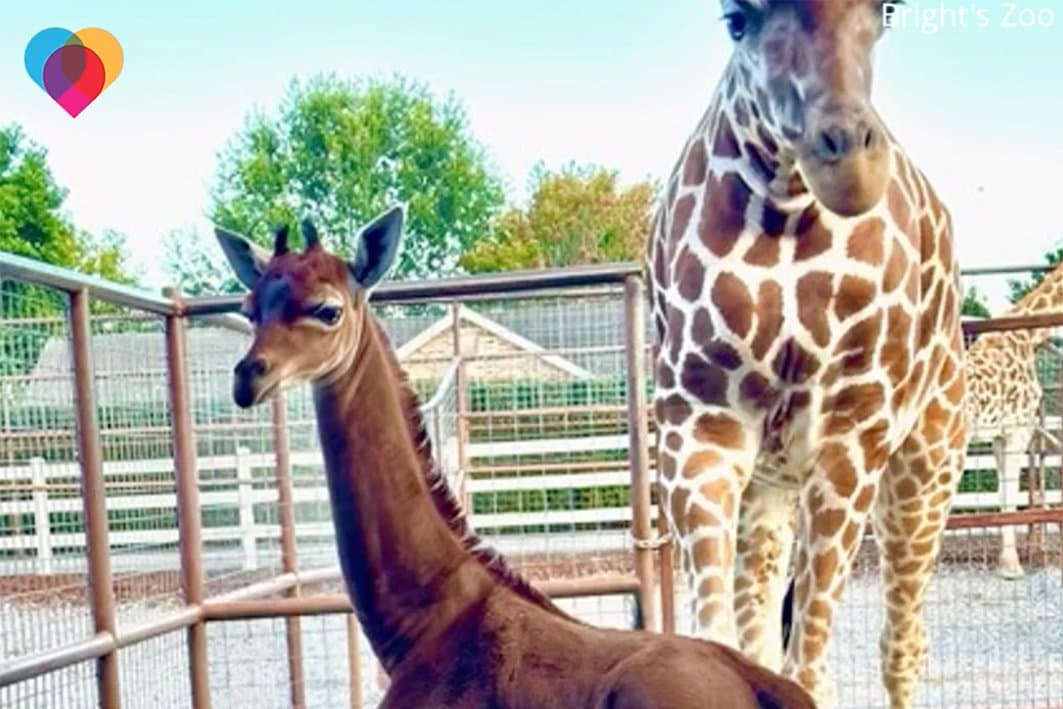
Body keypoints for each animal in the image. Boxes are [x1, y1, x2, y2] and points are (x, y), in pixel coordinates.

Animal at [645, 2, 966, 708]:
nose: (848, 165)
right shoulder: (699, 431)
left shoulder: (850, 439)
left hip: (925, 469)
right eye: (736, 19)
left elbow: (808, 669)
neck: (788, 213)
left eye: (888, 12)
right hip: (769, 490)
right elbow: (728, 646)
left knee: (902, 645)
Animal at [965, 262, 1063, 579]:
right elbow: (1010, 493)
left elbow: (1002, 491)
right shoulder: (1018, 429)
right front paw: (1011, 566)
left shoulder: (999, 434)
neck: (1028, 335)